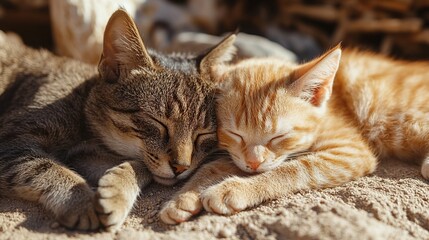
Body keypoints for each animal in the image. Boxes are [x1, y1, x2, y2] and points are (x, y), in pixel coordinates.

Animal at [0, 9, 236, 231]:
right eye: (158, 122)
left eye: (203, 134)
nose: (181, 167)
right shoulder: (12, 142)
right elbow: (46, 168)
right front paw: (82, 201)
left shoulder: (86, 155)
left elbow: (143, 166)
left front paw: (115, 192)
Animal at [159, 44, 428, 223]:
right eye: (235, 134)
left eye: (278, 136)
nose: (254, 163)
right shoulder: (238, 156)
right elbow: (212, 167)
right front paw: (182, 198)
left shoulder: (350, 151)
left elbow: (293, 169)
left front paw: (234, 190)